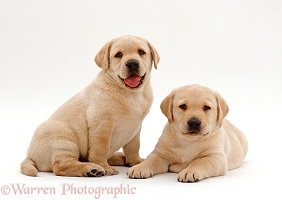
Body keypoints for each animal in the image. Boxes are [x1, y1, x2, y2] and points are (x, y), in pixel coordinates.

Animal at [20, 35, 160, 177]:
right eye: (118, 55)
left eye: (141, 52)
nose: (132, 63)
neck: (131, 93)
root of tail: (30, 155)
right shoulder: (102, 124)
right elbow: (101, 148)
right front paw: (104, 166)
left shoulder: (135, 126)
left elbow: (134, 146)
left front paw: (136, 162)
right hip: (63, 140)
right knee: (61, 166)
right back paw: (91, 169)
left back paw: (118, 157)